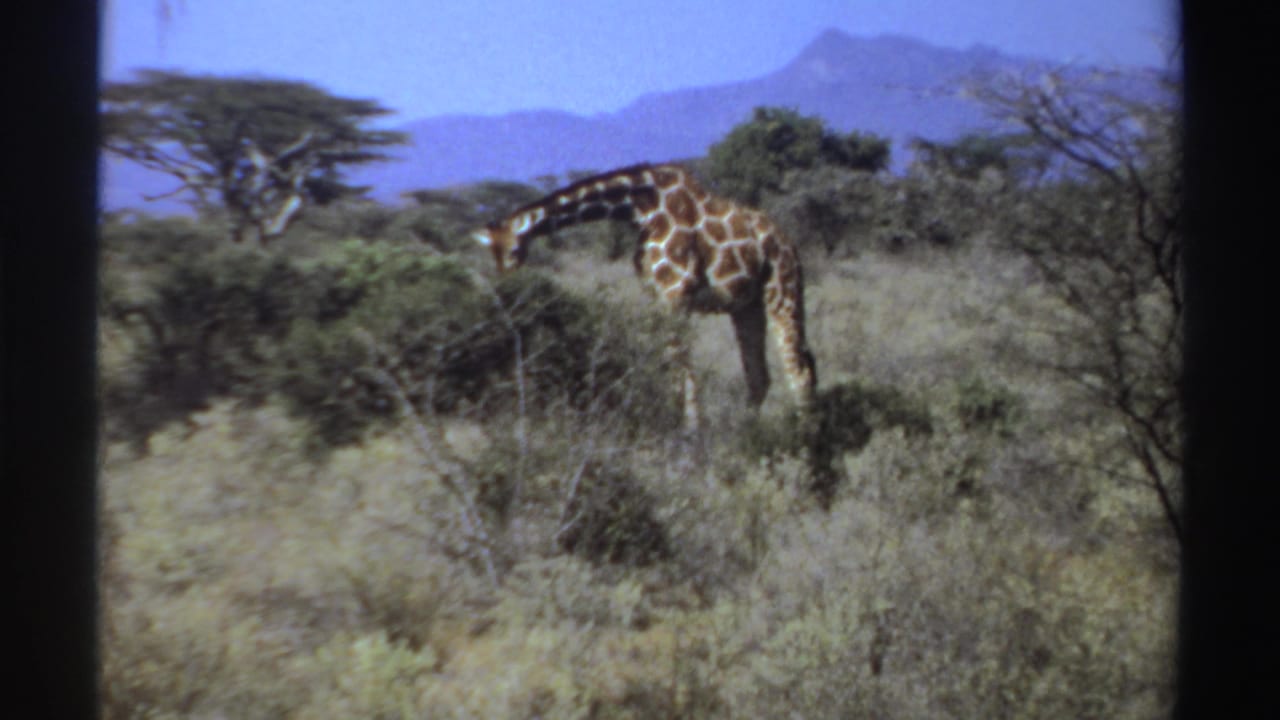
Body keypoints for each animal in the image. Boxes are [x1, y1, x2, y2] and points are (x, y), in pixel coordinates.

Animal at [472, 163, 816, 428]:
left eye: (513, 250)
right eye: (491, 255)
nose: (507, 287)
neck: (640, 208)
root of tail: (790, 245)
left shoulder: (675, 293)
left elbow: (681, 367)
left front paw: (692, 432)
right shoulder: (654, 295)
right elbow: (670, 364)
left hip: (782, 292)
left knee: (799, 369)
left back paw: (804, 443)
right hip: (747, 306)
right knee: (761, 376)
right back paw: (749, 433)